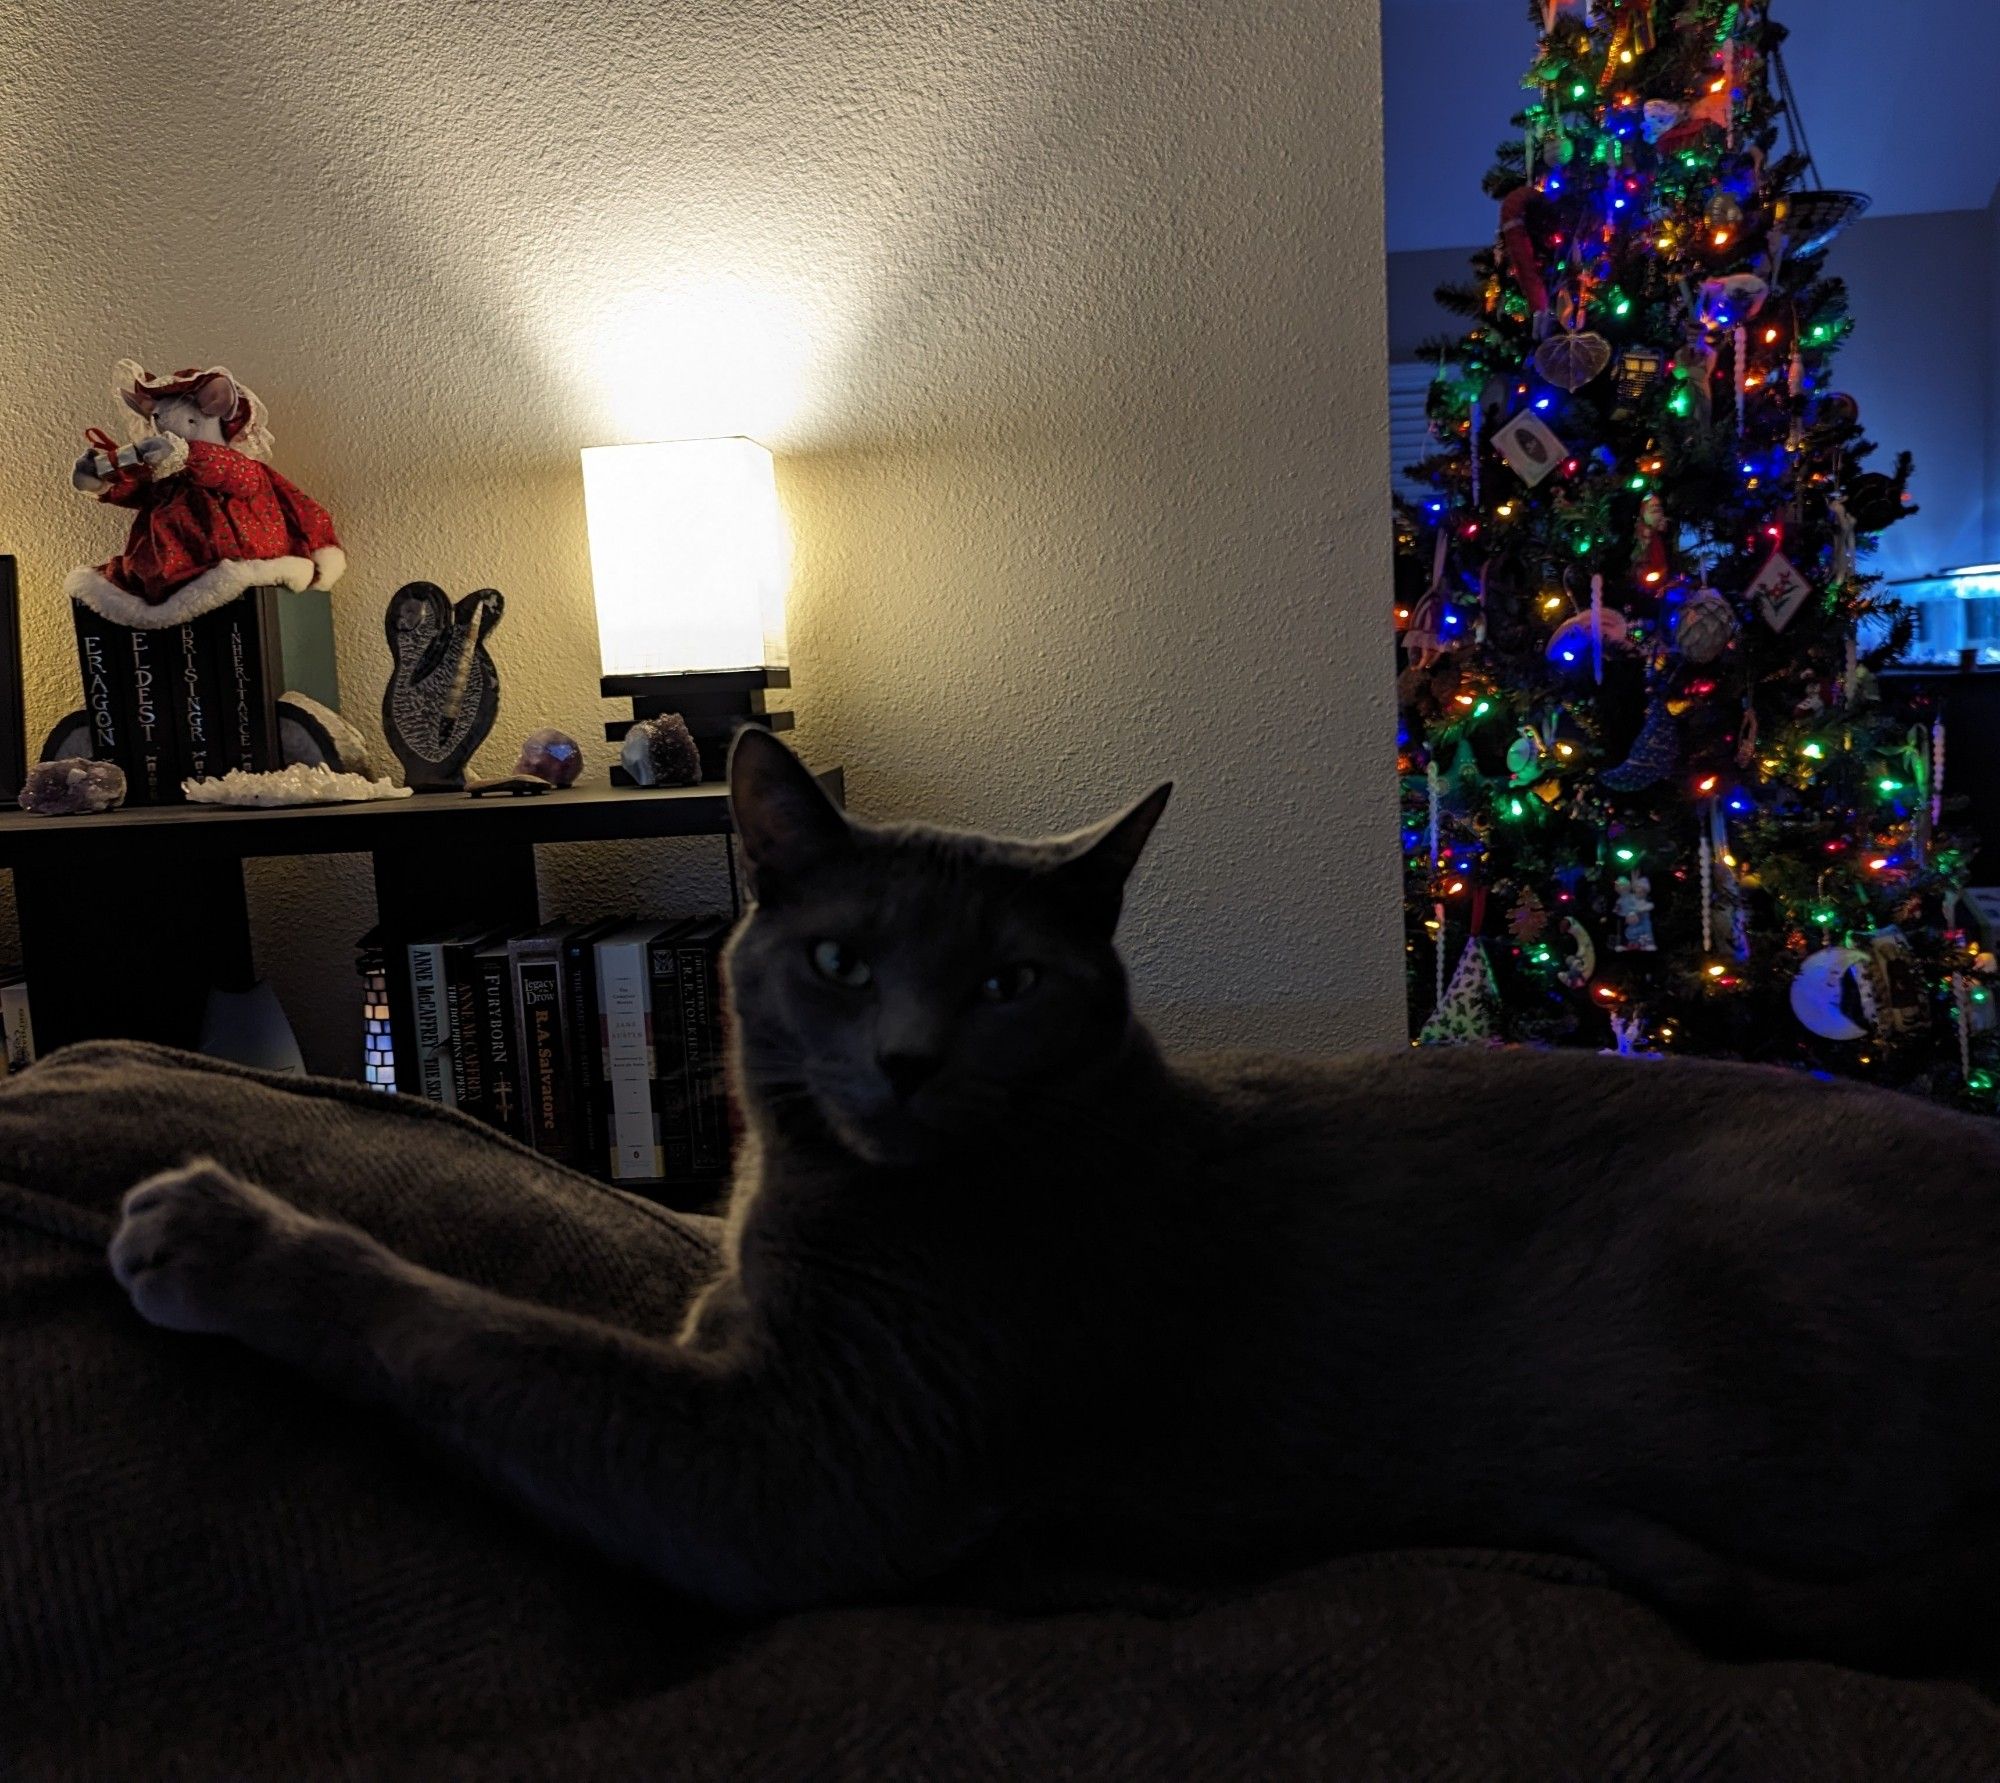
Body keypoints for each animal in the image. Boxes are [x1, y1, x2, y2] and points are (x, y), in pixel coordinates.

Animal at [105, 723, 2000, 1655]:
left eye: (1009, 982)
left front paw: (206, 1219)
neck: (807, 1199)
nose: (909, 1057)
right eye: (841, 956)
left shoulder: (801, 1461)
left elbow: (468, 1325)